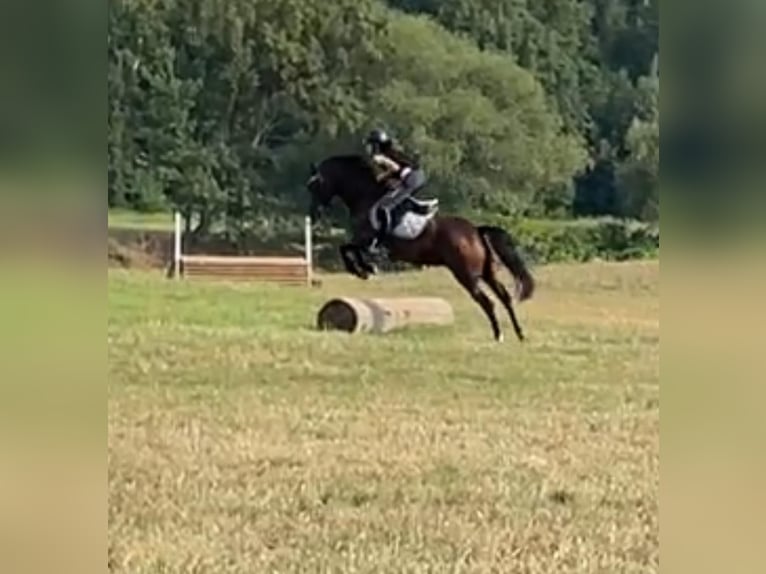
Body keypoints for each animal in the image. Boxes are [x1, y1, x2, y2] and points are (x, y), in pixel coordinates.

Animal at [308, 154, 536, 342]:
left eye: (314, 186)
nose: (315, 213)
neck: (365, 195)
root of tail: (476, 231)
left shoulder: (364, 240)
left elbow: (346, 249)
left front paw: (364, 270)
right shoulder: (362, 242)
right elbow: (348, 249)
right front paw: (366, 268)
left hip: (466, 274)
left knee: (487, 302)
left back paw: (499, 335)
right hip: (487, 272)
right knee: (505, 298)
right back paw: (520, 333)